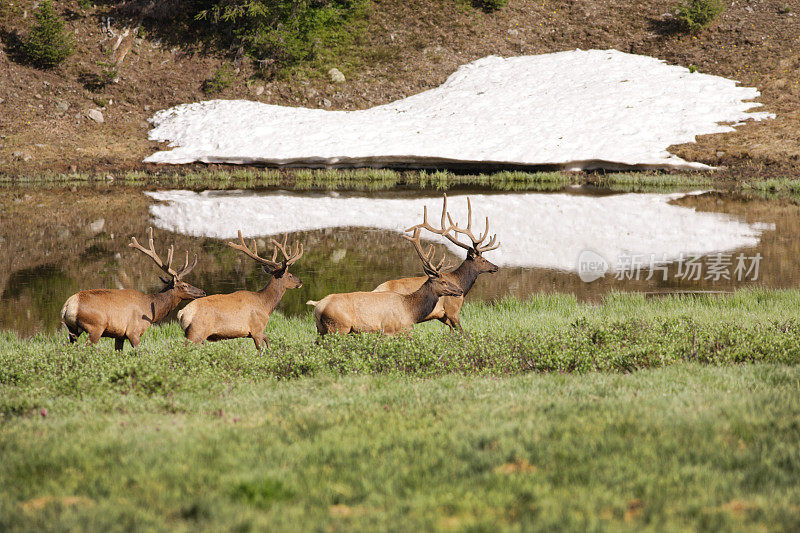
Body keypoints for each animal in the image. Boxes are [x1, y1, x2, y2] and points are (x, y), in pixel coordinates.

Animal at [61, 228, 206, 350]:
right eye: (184, 285)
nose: (203, 292)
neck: (151, 311)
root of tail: (68, 306)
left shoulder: (119, 335)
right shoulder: (134, 331)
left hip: (72, 330)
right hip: (95, 327)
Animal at [310, 227, 466, 334]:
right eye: (443, 281)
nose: (460, 290)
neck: (410, 310)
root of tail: (318, 305)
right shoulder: (392, 329)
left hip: (321, 329)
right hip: (338, 327)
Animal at [374, 195, 500, 332]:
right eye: (483, 260)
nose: (496, 267)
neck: (461, 283)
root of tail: (374, 290)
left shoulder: (441, 315)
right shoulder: (452, 309)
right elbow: (462, 331)